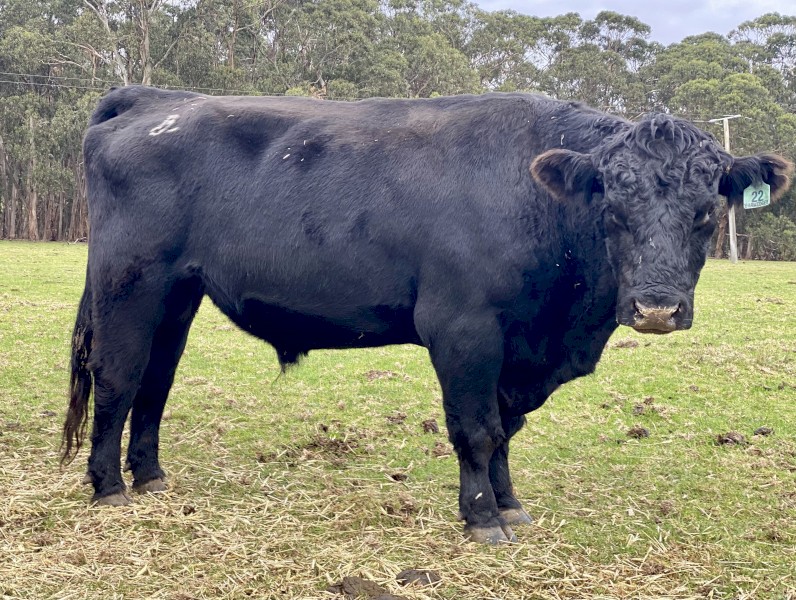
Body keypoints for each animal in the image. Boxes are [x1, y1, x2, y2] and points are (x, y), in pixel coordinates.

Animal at [61, 85, 793, 544]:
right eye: (612, 206)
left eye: (708, 211)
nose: (656, 307)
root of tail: (156, 99)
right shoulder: (463, 329)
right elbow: (477, 429)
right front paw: (481, 519)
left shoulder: (515, 350)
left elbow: (506, 429)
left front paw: (510, 506)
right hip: (129, 282)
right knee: (118, 378)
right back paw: (108, 486)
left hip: (176, 296)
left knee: (155, 383)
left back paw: (151, 477)